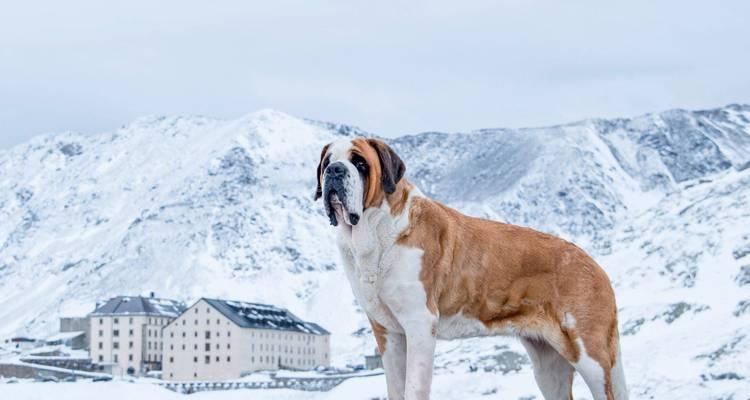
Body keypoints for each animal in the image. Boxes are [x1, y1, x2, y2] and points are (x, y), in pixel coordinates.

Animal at [316, 138, 628, 400]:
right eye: (327, 161)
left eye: (360, 163)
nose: (335, 170)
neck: (376, 232)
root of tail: (595, 265)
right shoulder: (388, 333)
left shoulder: (419, 324)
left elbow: (414, 388)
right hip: (548, 366)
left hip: (591, 357)